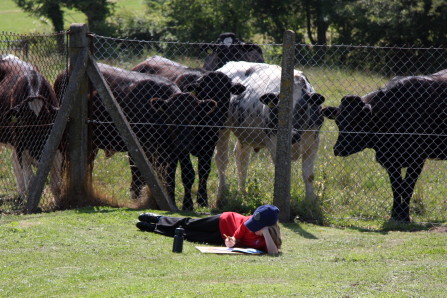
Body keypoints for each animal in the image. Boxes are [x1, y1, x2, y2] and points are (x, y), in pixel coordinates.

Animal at [133, 56, 247, 210]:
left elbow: (204, 171)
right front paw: (187, 204)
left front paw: (203, 200)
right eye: (206, 92)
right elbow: (188, 174)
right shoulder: (182, 147)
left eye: (226, 94)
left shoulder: (209, 144)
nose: (218, 116)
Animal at [216, 61, 326, 206]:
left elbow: (308, 175)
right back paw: (222, 193)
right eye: (278, 109)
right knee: (222, 160)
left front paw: (310, 200)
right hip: (222, 128)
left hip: (245, 134)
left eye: (302, 108)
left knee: (242, 160)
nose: (292, 135)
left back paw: (243, 193)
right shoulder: (274, 144)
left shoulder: (314, 142)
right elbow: (283, 173)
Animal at [324, 71, 447, 221]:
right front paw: (395, 214)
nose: (338, 149)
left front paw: (405, 216)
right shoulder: (390, 161)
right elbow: (396, 187)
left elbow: (407, 187)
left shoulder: (417, 159)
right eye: (338, 122)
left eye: (356, 122)